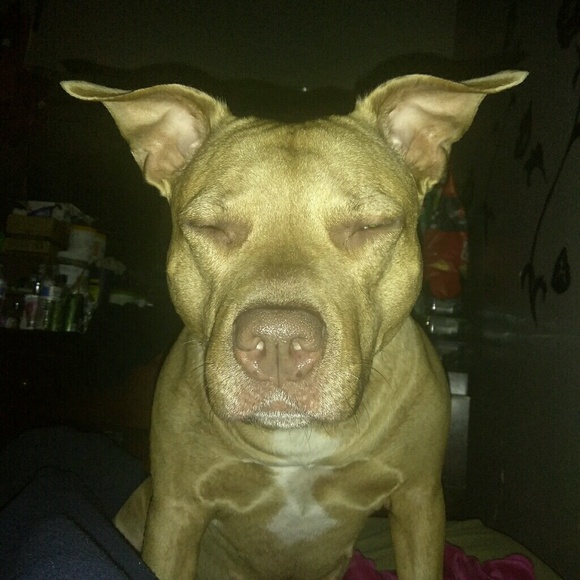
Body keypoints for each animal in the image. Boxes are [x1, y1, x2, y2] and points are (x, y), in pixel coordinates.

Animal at [62, 70, 526, 580]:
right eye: (209, 228)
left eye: (371, 226)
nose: (278, 341)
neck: (298, 443)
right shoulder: (175, 514)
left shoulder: (419, 503)